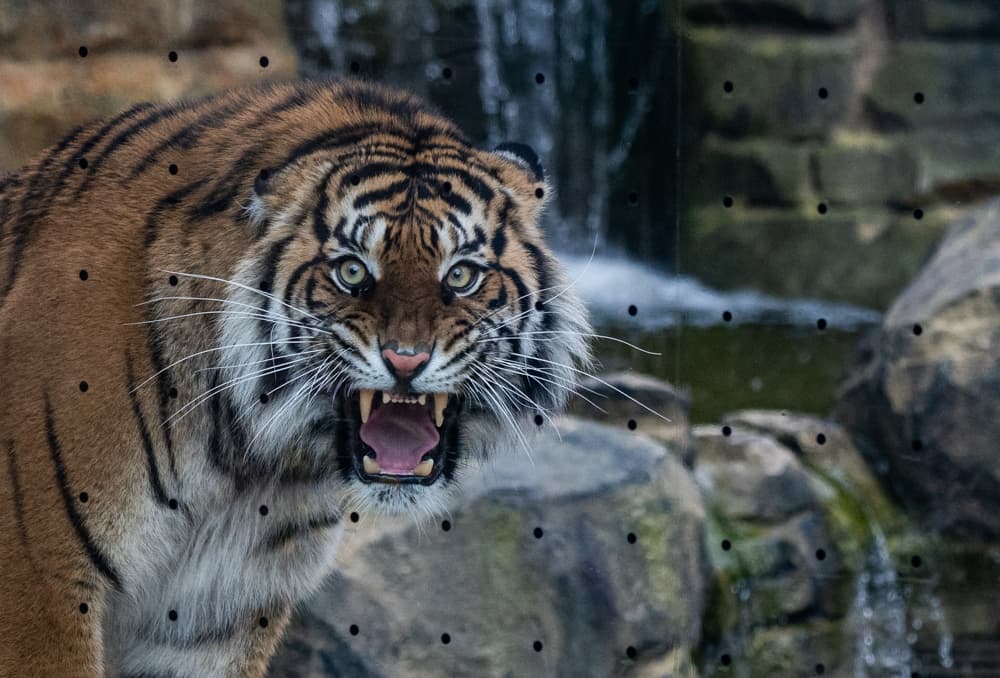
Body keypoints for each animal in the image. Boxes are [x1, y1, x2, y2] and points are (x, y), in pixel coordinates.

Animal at [0, 79, 591, 677]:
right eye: (352, 271)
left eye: (462, 275)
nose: (406, 360)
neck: (246, 460)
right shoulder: (40, 581)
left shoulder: (215, 614)